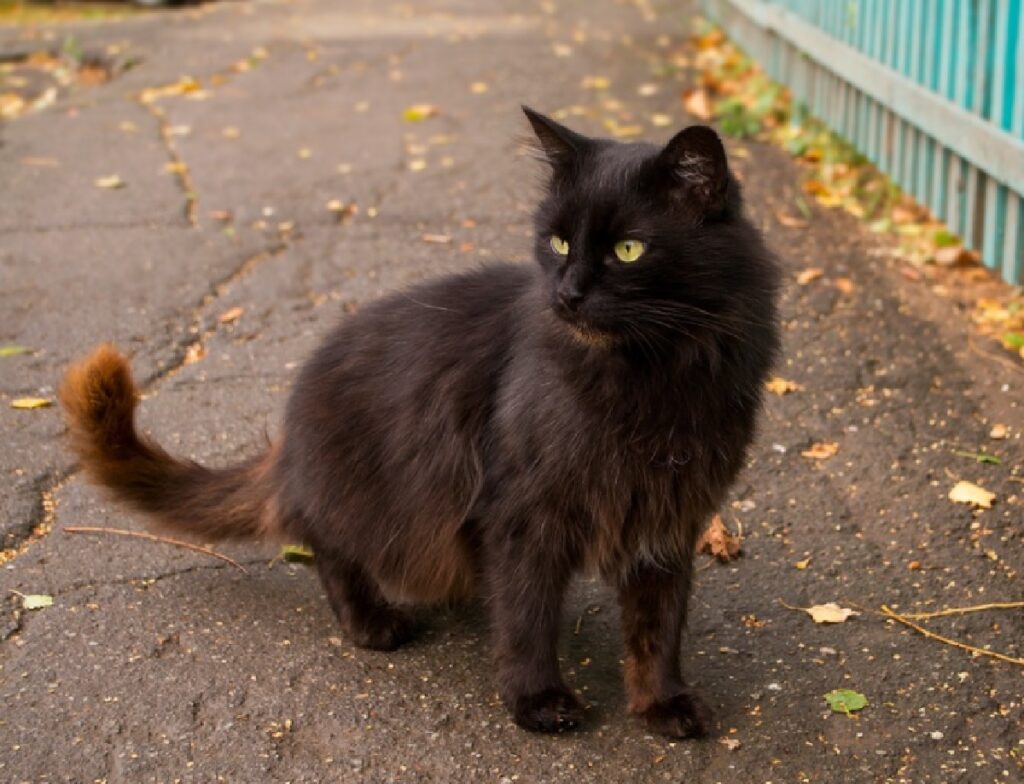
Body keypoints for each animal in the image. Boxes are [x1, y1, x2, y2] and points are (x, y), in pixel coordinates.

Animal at [59, 107, 778, 741]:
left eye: (629, 249)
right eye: (559, 242)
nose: (567, 293)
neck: (650, 378)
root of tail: (291, 439)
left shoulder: (670, 514)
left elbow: (659, 627)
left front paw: (662, 706)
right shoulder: (522, 514)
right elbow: (527, 620)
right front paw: (537, 702)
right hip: (377, 500)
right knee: (328, 544)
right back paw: (372, 623)